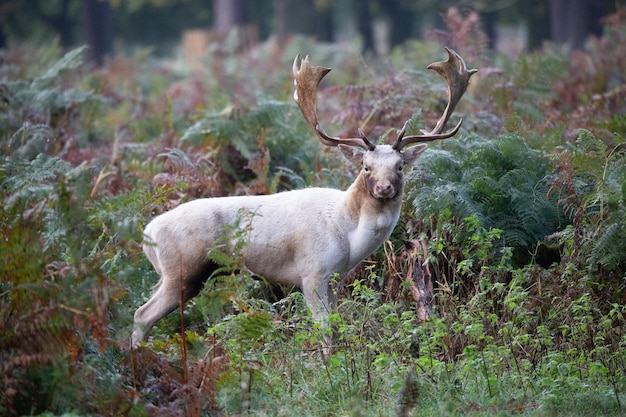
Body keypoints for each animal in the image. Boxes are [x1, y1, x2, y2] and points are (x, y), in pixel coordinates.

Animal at [129, 48, 476, 352]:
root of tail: (148, 234)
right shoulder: (312, 272)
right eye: (366, 167)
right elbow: (324, 329)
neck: (348, 237)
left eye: (400, 165)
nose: (384, 188)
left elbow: (337, 323)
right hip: (182, 270)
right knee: (141, 314)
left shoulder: (336, 279)